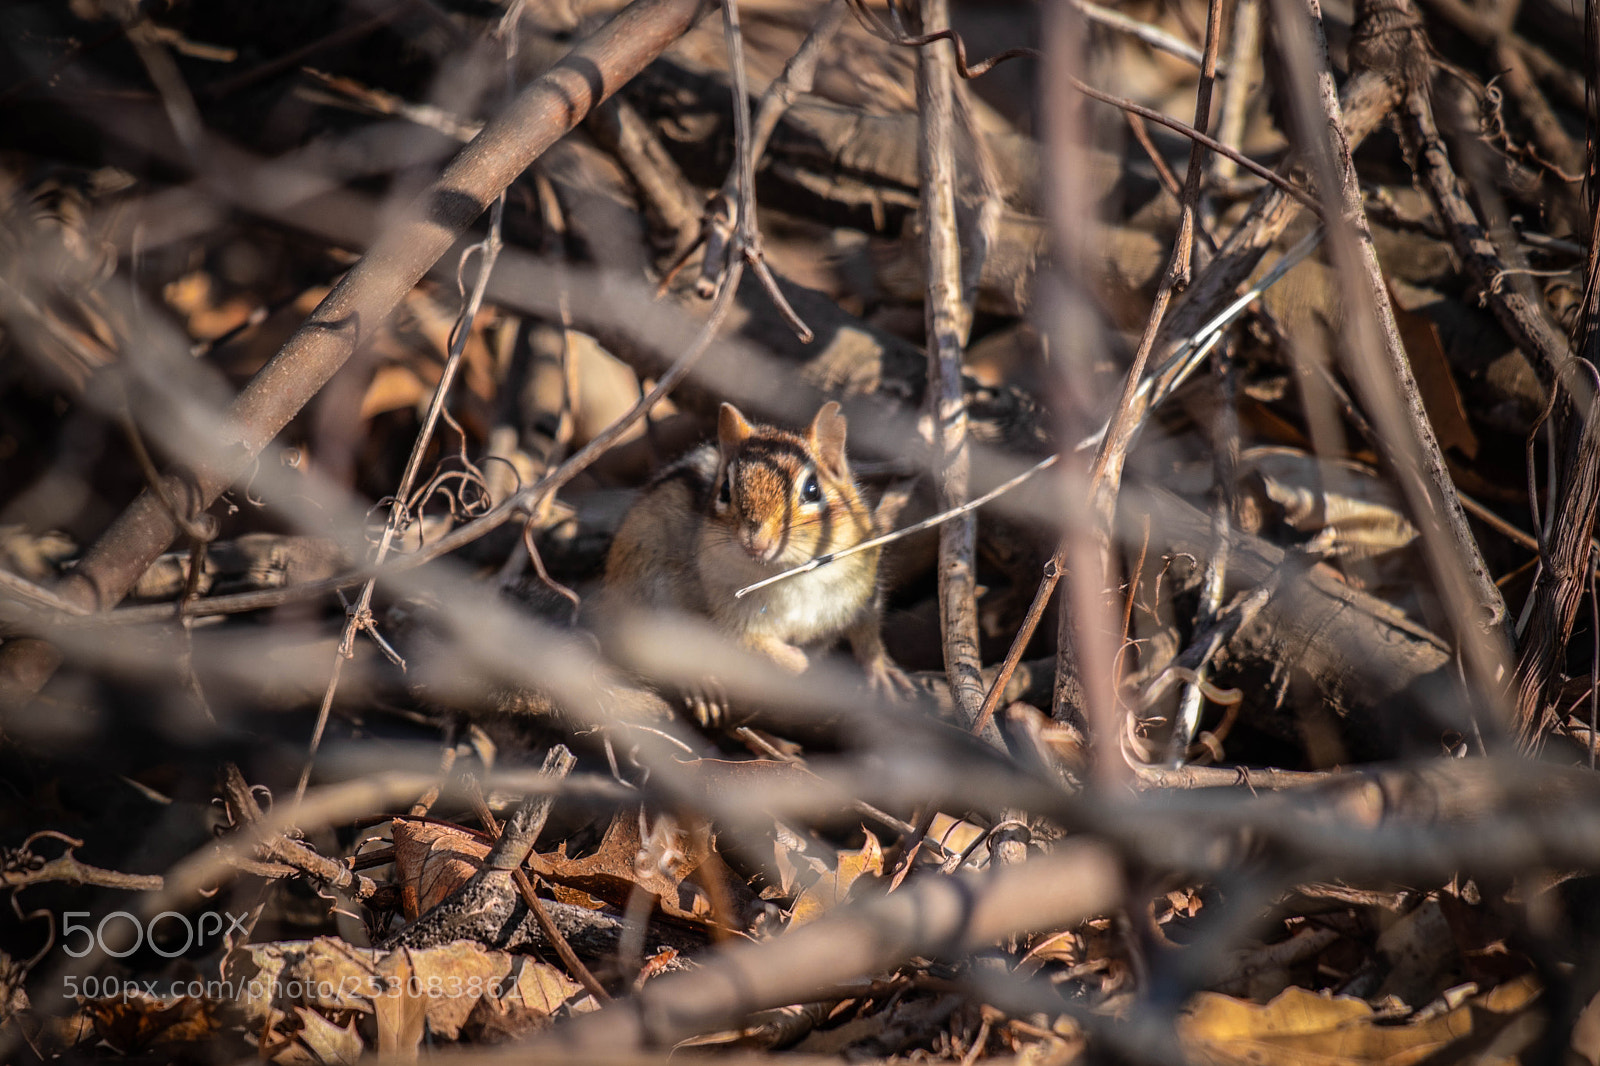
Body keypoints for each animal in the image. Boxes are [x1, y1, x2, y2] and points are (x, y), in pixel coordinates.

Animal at [597, 401, 910, 707]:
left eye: (812, 489)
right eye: (725, 490)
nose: (755, 542)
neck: (790, 574)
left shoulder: (864, 586)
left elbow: (867, 630)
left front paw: (881, 669)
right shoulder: (732, 617)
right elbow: (758, 647)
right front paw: (803, 663)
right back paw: (700, 684)